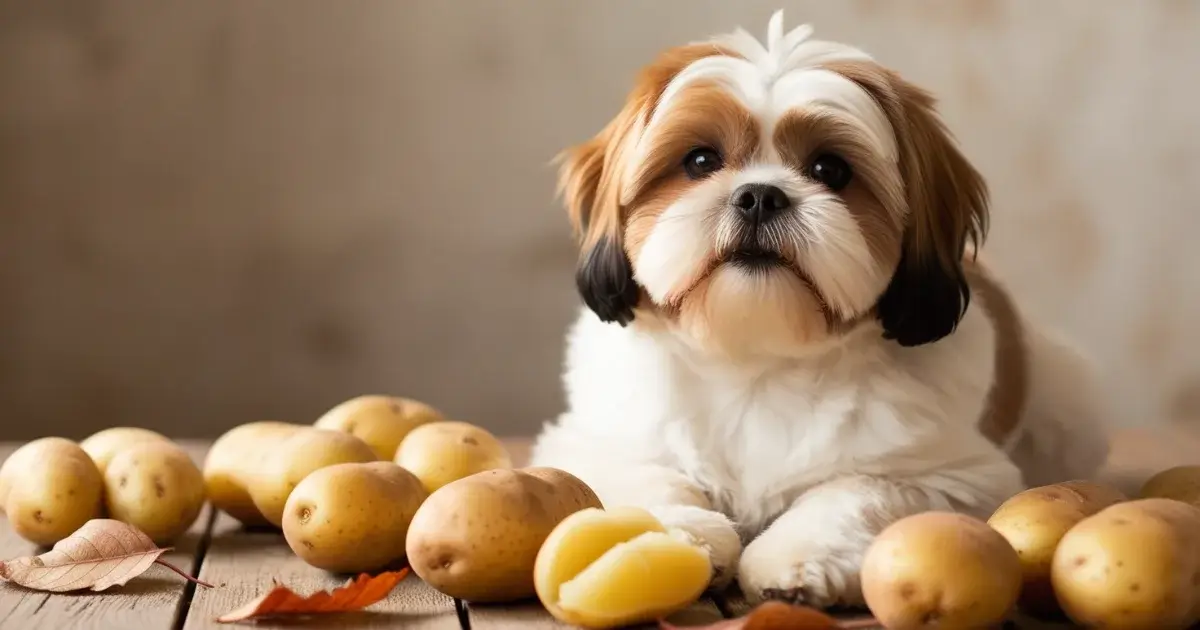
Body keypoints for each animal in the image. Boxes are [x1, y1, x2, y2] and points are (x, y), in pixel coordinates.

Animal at [530, 9, 1108, 607]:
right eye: (700, 160)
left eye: (830, 169)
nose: (759, 195)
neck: (758, 364)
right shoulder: (593, 440)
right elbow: (647, 474)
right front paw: (680, 533)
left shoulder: (953, 476)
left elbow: (856, 491)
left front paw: (797, 556)